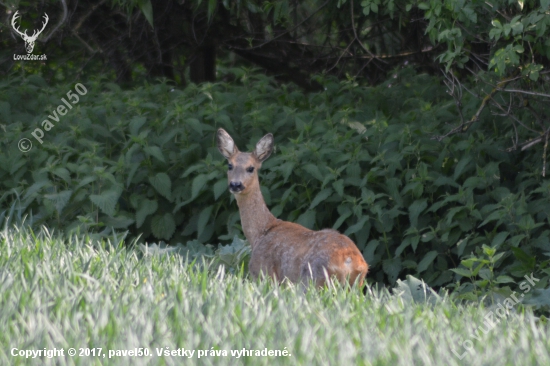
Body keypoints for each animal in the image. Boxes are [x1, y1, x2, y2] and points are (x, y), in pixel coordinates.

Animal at [218, 127, 368, 288]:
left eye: (251, 168)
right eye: (230, 165)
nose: (235, 184)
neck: (260, 233)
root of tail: (351, 261)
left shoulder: (262, 272)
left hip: (311, 279)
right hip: (355, 285)